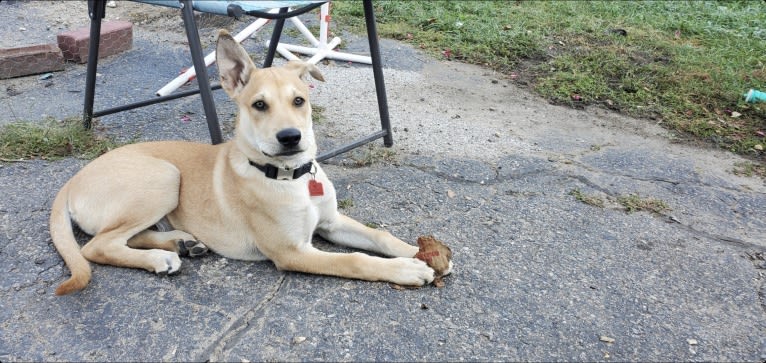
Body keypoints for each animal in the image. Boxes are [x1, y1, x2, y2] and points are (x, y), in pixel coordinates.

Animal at [49, 30, 450, 296]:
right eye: (259, 105)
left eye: (299, 100)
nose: (290, 138)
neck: (291, 177)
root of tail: (69, 183)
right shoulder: (292, 252)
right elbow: (354, 259)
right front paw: (406, 268)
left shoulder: (332, 222)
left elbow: (378, 236)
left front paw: (417, 253)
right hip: (163, 176)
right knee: (95, 246)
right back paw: (160, 258)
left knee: (126, 236)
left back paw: (181, 242)